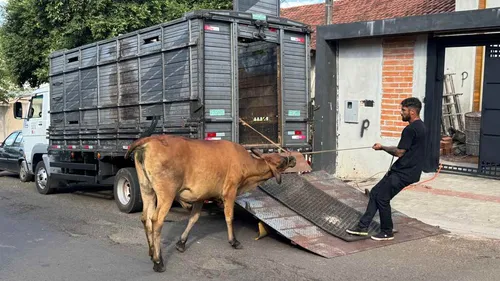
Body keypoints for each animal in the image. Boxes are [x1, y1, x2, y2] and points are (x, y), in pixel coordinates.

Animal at [126, 134, 296, 272]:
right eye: (280, 161)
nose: (293, 158)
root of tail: (150, 140)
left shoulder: (200, 196)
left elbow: (193, 219)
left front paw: (181, 243)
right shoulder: (230, 191)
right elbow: (229, 217)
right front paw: (233, 241)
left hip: (146, 189)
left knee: (145, 218)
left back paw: (151, 252)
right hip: (166, 193)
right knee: (156, 220)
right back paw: (158, 261)